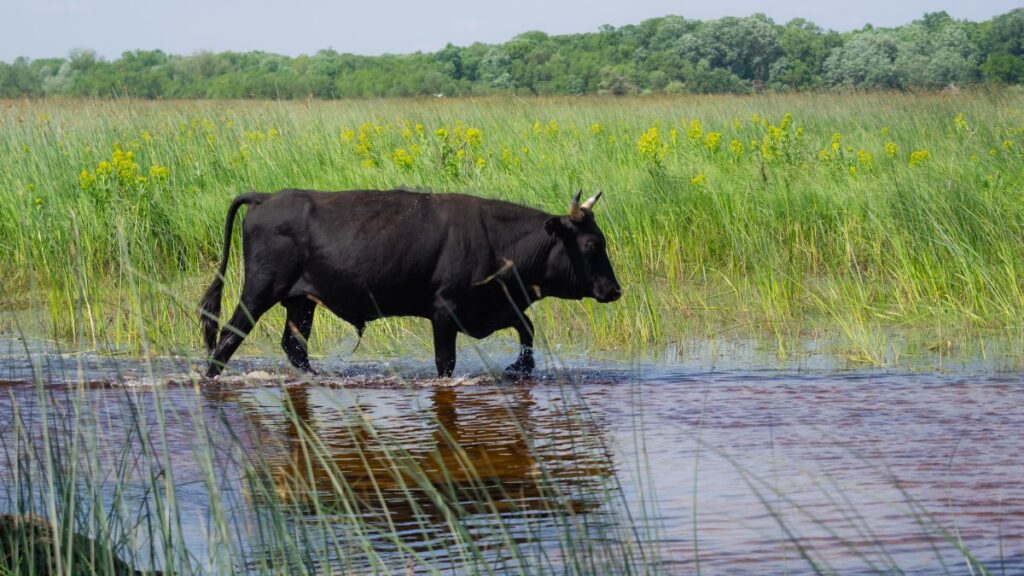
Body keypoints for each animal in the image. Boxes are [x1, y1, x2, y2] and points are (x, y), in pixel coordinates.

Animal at [199, 189, 622, 378]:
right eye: (591, 244)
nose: (614, 290)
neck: (497, 239)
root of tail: (267, 197)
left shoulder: (494, 306)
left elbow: (528, 329)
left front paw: (519, 367)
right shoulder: (445, 311)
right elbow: (445, 361)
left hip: (301, 301)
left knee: (294, 346)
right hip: (259, 290)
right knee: (227, 339)